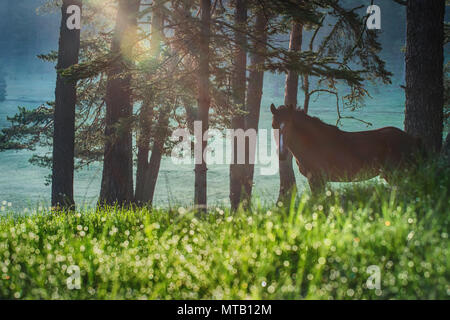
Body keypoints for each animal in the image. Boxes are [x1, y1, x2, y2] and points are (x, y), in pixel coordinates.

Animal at [270, 104, 426, 192]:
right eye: (273, 125)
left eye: (290, 124)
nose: (281, 154)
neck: (313, 142)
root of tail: (412, 139)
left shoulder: (317, 180)